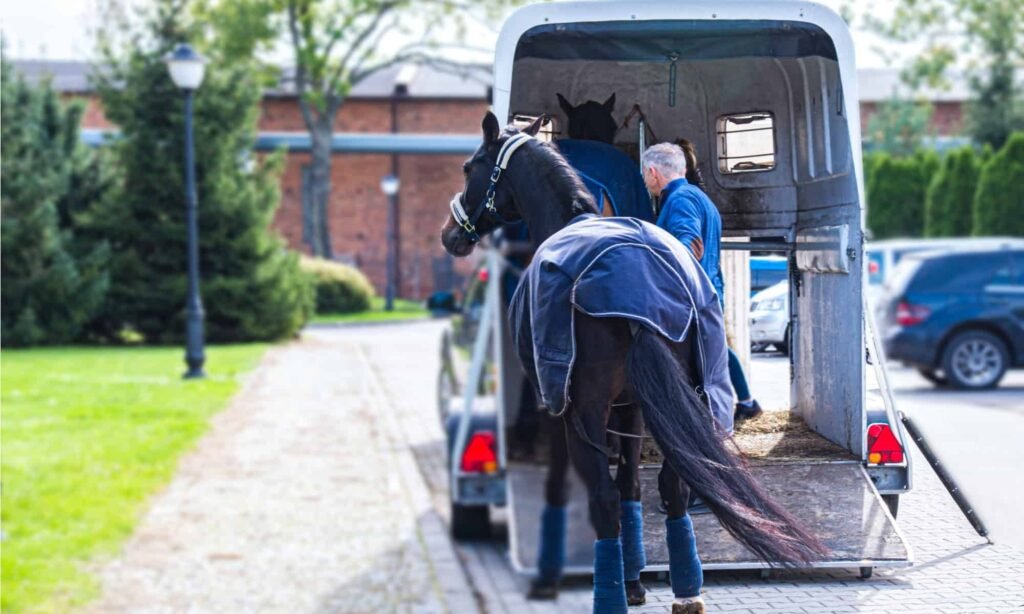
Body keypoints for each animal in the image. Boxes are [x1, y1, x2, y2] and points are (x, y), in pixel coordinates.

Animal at [440, 113, 828, 614]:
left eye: (469, 167)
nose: (450, 234)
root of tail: (640, 287)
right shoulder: (632, 410)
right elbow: (632, 487)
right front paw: (634, 581)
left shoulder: (559, 408)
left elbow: (567, 488)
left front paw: (555, 575)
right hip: (677, 403)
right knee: (672, 488)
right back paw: (686, 591)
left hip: (585, 411)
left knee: (603, 500)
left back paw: (607, 597)